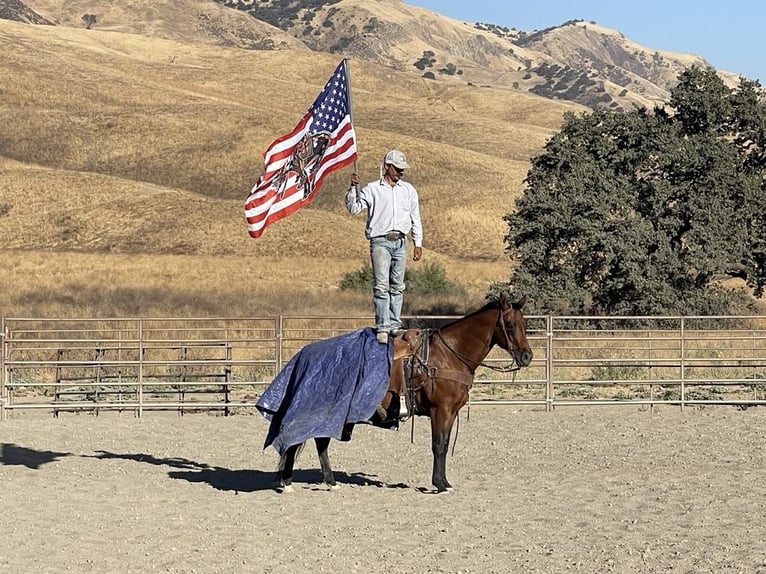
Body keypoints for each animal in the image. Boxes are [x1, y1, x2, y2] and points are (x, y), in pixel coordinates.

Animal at [270, 295, 533, 493]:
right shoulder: (440, 410)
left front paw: (445, 482)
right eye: (510, 325)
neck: (450, 355)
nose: (527, 356)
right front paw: (439, 484)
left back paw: (328, 481)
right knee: (299, 439)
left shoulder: (451, 412)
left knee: (319, 441)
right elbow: (438, 445)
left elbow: (445, 444)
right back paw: (288, 481)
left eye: (525, 325)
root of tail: (305, 354)